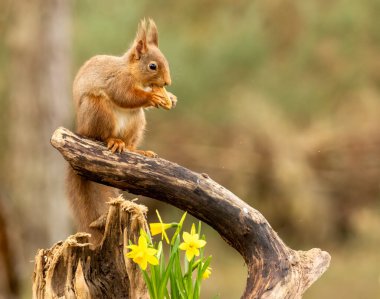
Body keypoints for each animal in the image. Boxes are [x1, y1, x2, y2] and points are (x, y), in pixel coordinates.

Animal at [67, 18, 177, 244]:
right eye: (153, 66)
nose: (167, 82)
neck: (134, 74)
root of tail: (81, 128)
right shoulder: (118, 81)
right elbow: (126, 96)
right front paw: (153, 97)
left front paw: (170, 97)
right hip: (98, 110)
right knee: (101, 136)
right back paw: (113, 141)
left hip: (137, 121)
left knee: (130, 143)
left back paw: (137, 150)